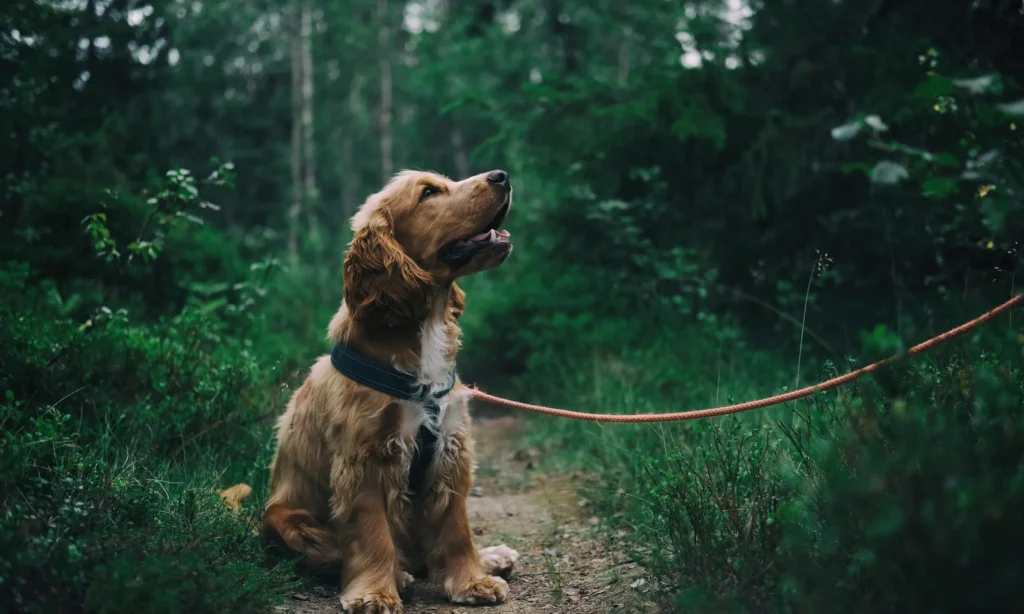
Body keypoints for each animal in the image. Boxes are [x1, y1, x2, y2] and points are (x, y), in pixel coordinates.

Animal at [264, 168, 520, 614]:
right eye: (429, 192)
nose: (502, 175)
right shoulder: (366, 457)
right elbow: (372, 534)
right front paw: (375, 593)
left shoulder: (450, 449)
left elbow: (456, 527)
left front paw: (472, 581)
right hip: (288, 522)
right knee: (335, 553)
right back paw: (399, 574)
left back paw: (490, 557)